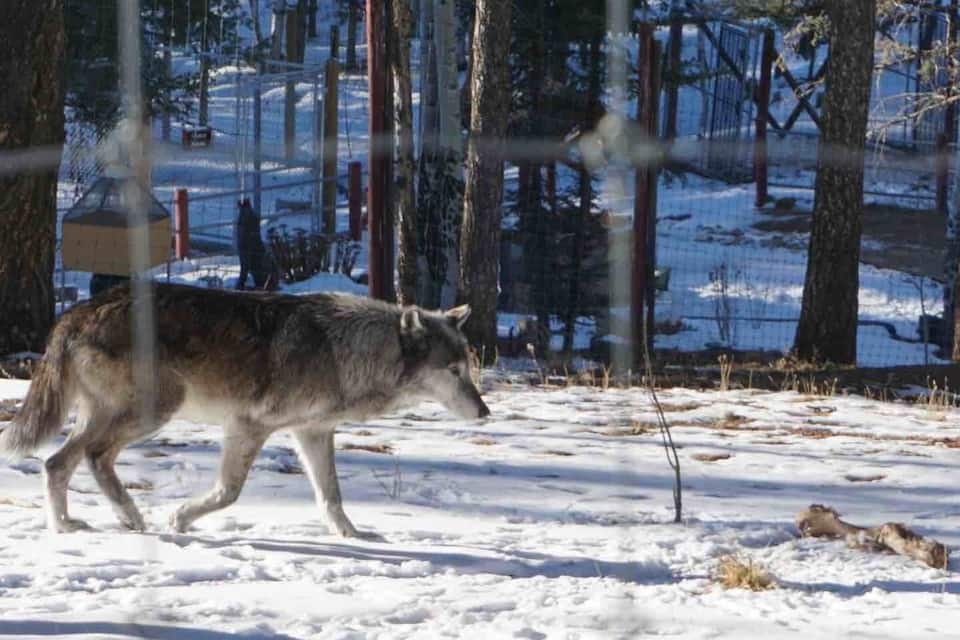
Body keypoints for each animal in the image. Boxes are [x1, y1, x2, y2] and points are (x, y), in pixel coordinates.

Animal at [0, 283, 489, 536]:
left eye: (468, 368)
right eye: (453, 371)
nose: (485, 412)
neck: (345, 350)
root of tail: (77, 310)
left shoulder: (313, 433)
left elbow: (330, 496)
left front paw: (352, 535)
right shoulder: (248, 427)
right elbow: (229, 492)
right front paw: (180, 518)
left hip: (114, 415)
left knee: (64, 461)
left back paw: (86, 522)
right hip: (155, 410)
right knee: (82, 457)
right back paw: (103, 521)